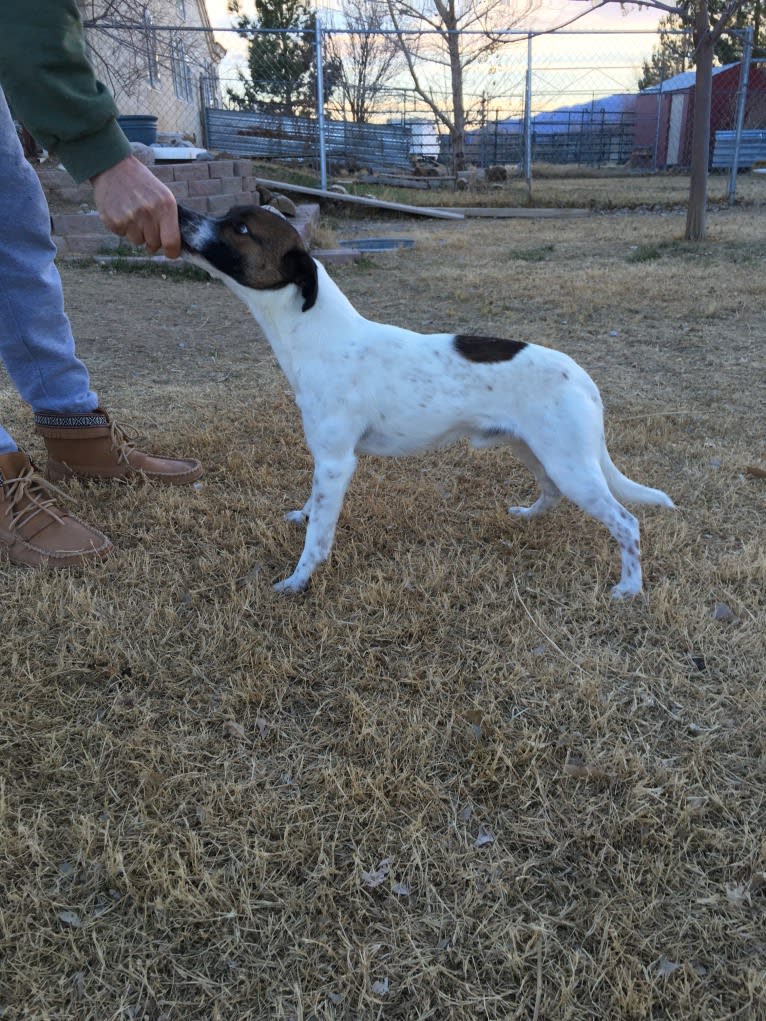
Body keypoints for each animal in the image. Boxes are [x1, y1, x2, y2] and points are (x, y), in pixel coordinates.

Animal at [178, 205, 669, 596]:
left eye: (241, 228)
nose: (180, 213)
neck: (319, 334)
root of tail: (584, 379)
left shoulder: (336, 462)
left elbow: (318, 537)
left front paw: (298, 580)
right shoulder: (323, 460)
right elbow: (312, 507)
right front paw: (302, 514)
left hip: (571, 466)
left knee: (626, 522)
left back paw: (630, 587)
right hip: (536, 452)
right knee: (551, 493)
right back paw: (529, 516)